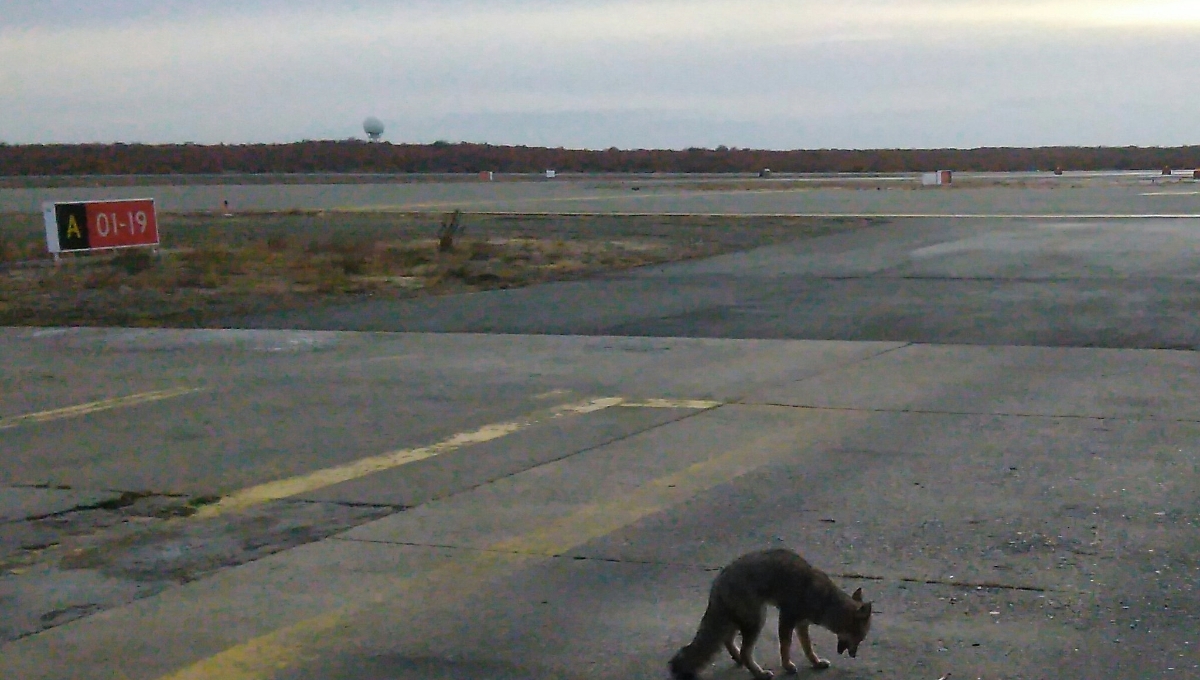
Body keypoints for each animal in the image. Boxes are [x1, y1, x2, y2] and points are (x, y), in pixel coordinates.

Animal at [667, 551, 873, 676]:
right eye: (859, 638)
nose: (854, 655)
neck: (826, 600)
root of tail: (719, 579)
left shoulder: (802, 624)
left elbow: (807, 648)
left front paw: (815, 662)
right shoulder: (787, 618)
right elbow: (785, 646)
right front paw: (787, 666)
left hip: (739, 620)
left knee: (727, 640)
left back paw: (739, 659)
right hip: (757, 619)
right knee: (745, 651)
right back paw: (758, 672)